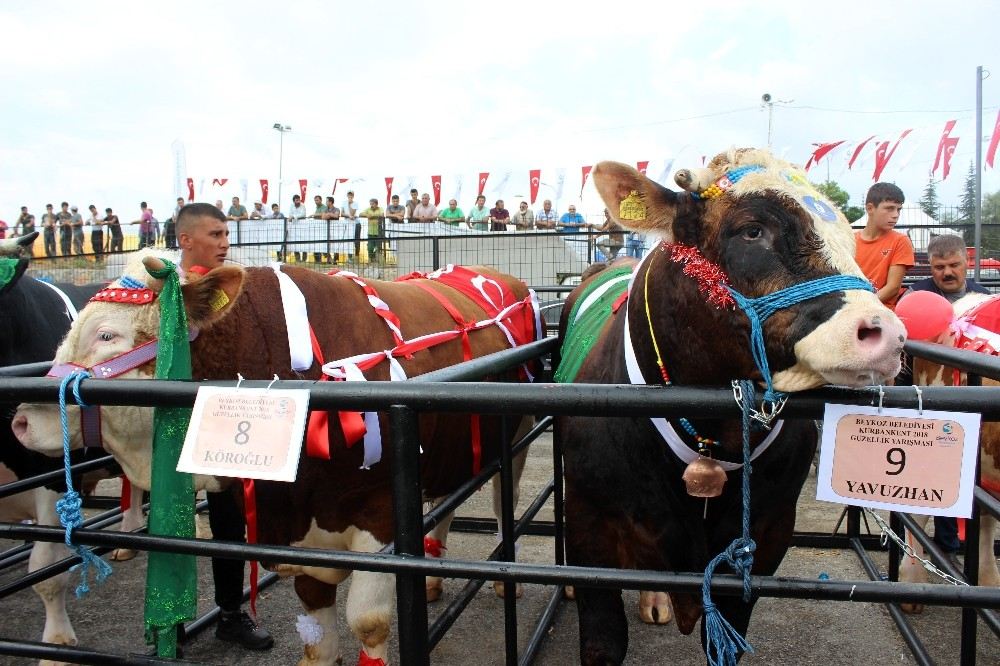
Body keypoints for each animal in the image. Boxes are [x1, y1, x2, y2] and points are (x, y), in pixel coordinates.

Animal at [11, 252, 544, 660]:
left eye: (107, 335)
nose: (22, 420)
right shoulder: (300, 538)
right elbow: (318, 643)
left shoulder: (379, 516)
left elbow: (368, 624)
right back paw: (432, 577)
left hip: (513, 435)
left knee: (505, 496)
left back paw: (505, 575)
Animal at [556, 148, 908, 660]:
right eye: (752, 230)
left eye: (849, 234)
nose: (888, 334)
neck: (709, 427)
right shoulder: (591, 528)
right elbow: (604, 638)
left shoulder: (765, 536)